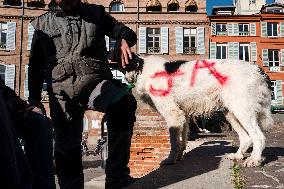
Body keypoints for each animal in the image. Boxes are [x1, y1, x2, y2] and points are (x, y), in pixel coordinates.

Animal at [125, 55, 272, 167]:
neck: (141, 68)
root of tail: (257, 69)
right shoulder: (182, 115)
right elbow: (182, 140)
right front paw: (179, 156)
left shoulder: (173, 114)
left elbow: (174, 142)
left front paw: (170, 159)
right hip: (232, 113)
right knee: (246, 138)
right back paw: (238, 155)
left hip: (242, 111)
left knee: (258, 137)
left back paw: (254, 159)